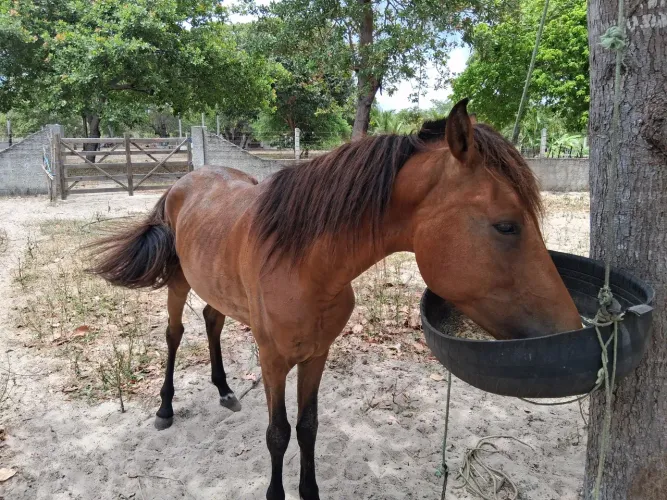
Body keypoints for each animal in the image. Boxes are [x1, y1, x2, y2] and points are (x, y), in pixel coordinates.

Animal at [87, 99, 582, 500]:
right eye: (507, 225)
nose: (571, 330)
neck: (302, 263)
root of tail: (184, 182)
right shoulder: (272, 360)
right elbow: (278, 433)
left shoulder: (316, 355)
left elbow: (307, 428)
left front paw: (309, 491)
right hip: (178, 283)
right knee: (174, 334)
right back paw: (165, 408)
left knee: (212, 320)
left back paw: (225, 390)